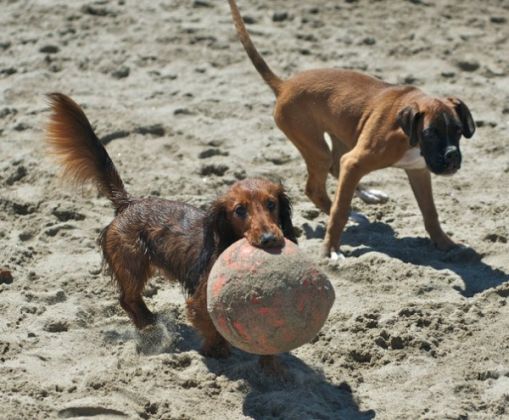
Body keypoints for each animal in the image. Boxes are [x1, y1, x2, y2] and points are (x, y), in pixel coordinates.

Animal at [46, 93, 298, 370]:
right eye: (239, 210)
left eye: (271, 204)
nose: (269, 239)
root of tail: (129, 203)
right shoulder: (200, 299)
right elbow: (209, 327)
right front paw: (216, 351)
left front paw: (272, 366)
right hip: (133, 263)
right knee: (128, 299)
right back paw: (150, 326)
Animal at [228, 0, 474, 260]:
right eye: (430, 133)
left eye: (458, 131)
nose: (452, 156)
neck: (409, 135)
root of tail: (283, 85)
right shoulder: (359, 161)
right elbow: (340, 211)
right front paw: (331, 250)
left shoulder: (418, 171)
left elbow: (430, 213)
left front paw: (445, 243)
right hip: (318, 149)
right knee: (318, 188)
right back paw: (352, 212)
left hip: (342, 137)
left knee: (337, 168)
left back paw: (368, 196)